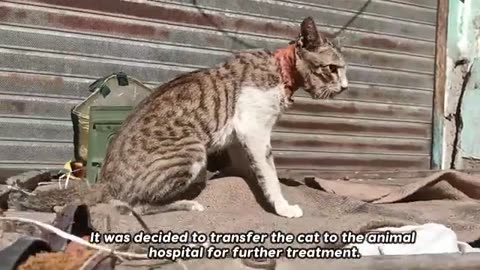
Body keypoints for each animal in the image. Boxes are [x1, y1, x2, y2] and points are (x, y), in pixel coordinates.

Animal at [13, 16, 346, 219]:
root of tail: (105, 182)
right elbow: (271, 175)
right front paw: (283, 207)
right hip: (193, 151)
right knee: (134, 205)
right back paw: (186, 203)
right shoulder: (254, 129)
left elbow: (251, 169)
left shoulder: (241, 135)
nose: (345, 87)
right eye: (332, 69)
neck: (281, 71)